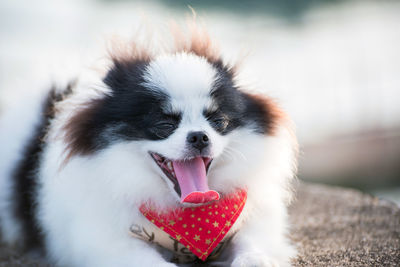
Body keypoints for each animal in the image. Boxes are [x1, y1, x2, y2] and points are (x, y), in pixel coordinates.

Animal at [0, 25, 296, 267]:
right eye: (164, 125)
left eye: (219, 121)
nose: (199, 136)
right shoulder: (105, 241)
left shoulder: (253, 219)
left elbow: (251, 241)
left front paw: (256, 259)